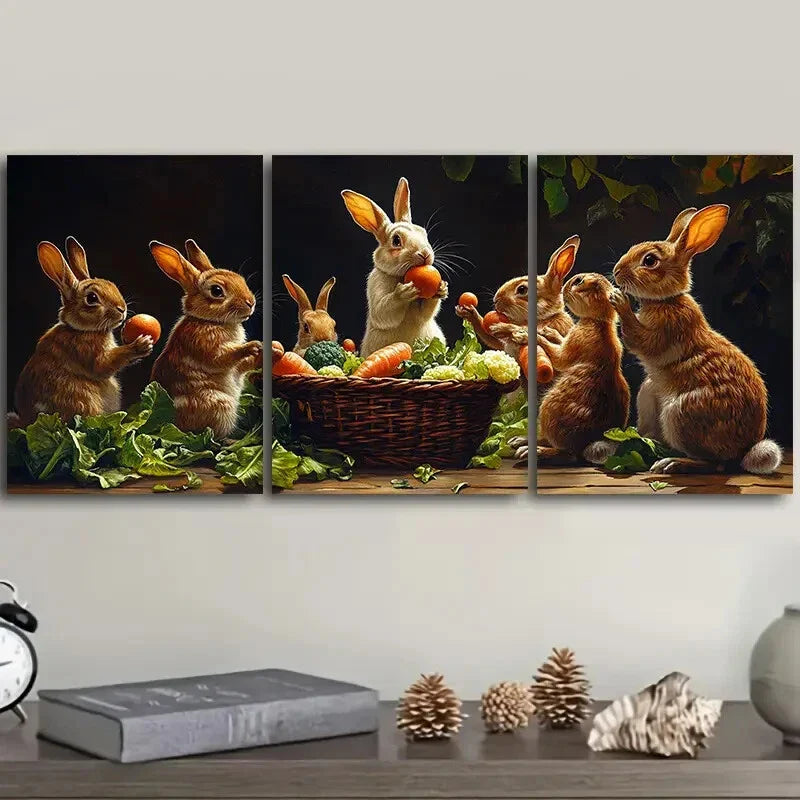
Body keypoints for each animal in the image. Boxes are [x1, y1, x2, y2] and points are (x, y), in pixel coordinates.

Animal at [12, 237, 153, 427]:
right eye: (92, 298)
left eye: (112, 285)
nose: (122, 309)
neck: (79, 329)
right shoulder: (87, 353)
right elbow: (103, 366)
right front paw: (142, 345)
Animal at [149, 239, 262, 440]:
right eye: (216, 291)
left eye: (240, 279)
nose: (251, 302)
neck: (208, 321)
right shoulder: (204, 346)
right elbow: (222, 357)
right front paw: (253, 346)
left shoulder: (236, 367)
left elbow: (242, 366)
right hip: (220, 405)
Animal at [342, 177, 447, 356]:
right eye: (396, 240)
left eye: (423, 233)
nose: (425, 254)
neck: (401, 276)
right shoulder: (376, 285)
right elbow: (383, 311)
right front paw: (403, 293)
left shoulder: (423, 313)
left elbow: (426, 313)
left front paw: (441, 289)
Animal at [537, 273, 630, 465]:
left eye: (578, 281)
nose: (562, 288)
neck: (598, 321)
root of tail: (587, 443)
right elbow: (559, 341)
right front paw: (550, 332)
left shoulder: (572, 346)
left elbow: (558, 356)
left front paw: (534, 335)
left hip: (548, 410)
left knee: (568, 454)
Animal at [611, 204, 782, 475]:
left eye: (649, 260)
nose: (616, 272)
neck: (666, 300)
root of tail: (743, 451)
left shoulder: (667, 329)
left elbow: (641, 339)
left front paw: (619, 301)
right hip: (649, 394)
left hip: (681, 414)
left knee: (715, 464)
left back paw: (670, 463)